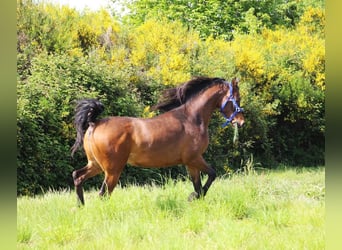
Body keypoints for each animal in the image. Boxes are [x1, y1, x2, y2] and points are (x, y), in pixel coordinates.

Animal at [71, 76, 244, 205]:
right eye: (237, 98)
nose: (241, 121)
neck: (191, 118)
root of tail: (94, 123)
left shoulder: (190, 163)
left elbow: (198, 185)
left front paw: (194, 198)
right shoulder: (194, 158)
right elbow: (212, 174)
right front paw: (193, 197)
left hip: (95, 165)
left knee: (78, 176)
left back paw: (80, 206)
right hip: (113, 171)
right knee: (103, 194)